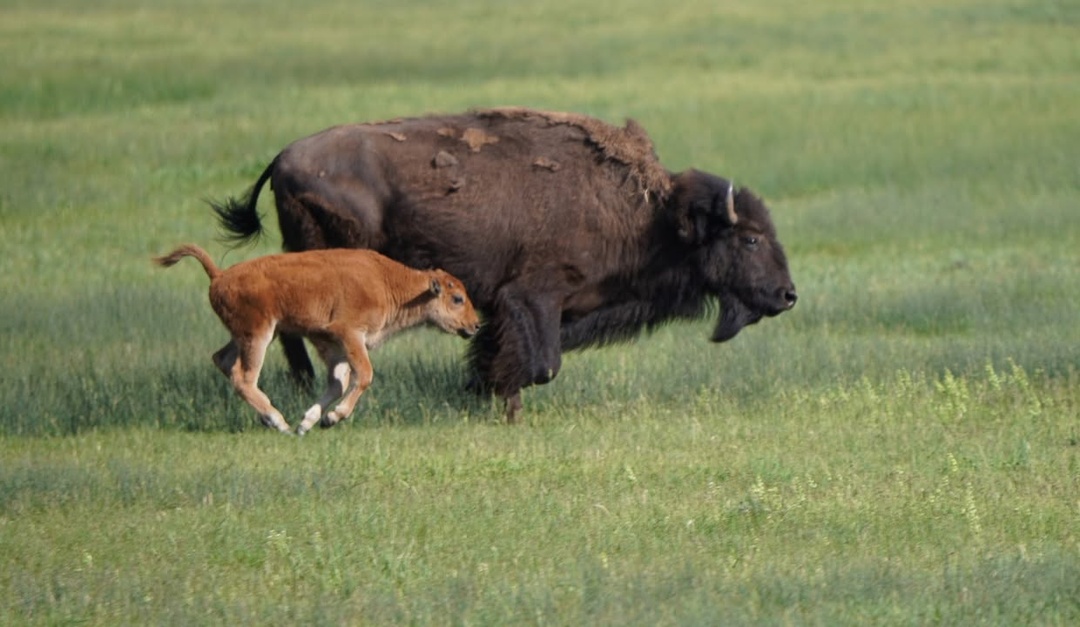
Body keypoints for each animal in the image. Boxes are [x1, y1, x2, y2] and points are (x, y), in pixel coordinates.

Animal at [213, 107, 796, 421]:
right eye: (749, 239)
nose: (787, 295)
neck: (652, 213)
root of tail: (282, 157)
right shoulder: (533, 298)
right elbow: (543, 364)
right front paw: (498, 400)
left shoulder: (515, 309)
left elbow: (505, 353)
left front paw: (484, 392)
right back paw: (301, 389)